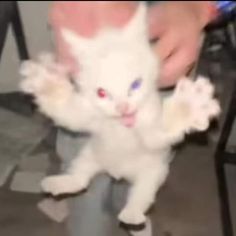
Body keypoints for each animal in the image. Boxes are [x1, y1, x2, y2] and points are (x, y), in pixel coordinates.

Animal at [19, 3, 219, 225]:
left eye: (136, 84)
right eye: (102, 93)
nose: (123, 107)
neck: (121, 124)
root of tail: (117, 172)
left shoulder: (151, 130)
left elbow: (160, 130)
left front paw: (189, 104)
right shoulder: (88, 115)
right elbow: (69, 111)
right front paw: (46, 82)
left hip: (153, 172)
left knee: (142, 193)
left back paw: (131, 215)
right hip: (91, 155)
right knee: (81, 178)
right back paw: (62, 182)